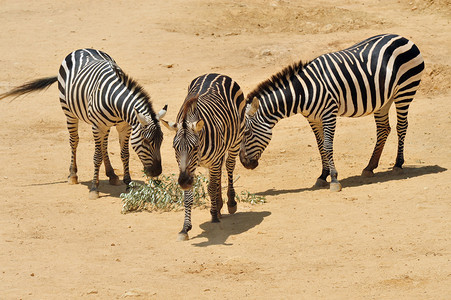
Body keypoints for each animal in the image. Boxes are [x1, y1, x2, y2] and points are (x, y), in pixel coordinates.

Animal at [0, 48, 168, 199]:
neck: (117, 104)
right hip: (70, 113)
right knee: (74, 141)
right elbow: (96, 156)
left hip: (104, 125)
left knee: (104, 145)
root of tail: (81, 49)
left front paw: (128, 183)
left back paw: (112, 175)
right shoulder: (97, 126)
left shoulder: (124, 127)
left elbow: (124, 154)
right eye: (146, 141)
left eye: (161, 141)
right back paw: (73, 175)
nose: (157, 172)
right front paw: (94, 188)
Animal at [162, 74, 245, 240]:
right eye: (175, 148)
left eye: (195, 147)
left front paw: (213, 216)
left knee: (229, 166)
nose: (184, 182)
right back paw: (219, 205)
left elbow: (211, 187)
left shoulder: (210, 161)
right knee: (220, 173)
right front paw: (185, 228)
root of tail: (216, 74)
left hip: (236, 140)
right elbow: (188, 197)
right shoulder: (189, 169)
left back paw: (230, 203)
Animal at [242, 34, 426, 191]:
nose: (244, 163)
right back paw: (369, 167)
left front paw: (334, 179)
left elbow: (328, 146)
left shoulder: (328, 114)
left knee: (401, 126)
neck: (304, 92)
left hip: (405, 90)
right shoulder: (313, 119)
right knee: (383, 129)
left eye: (247, 132)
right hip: (384, 99)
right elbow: (320, 147)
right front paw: (323, 176)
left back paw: (398, 164)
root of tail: (402, 37)